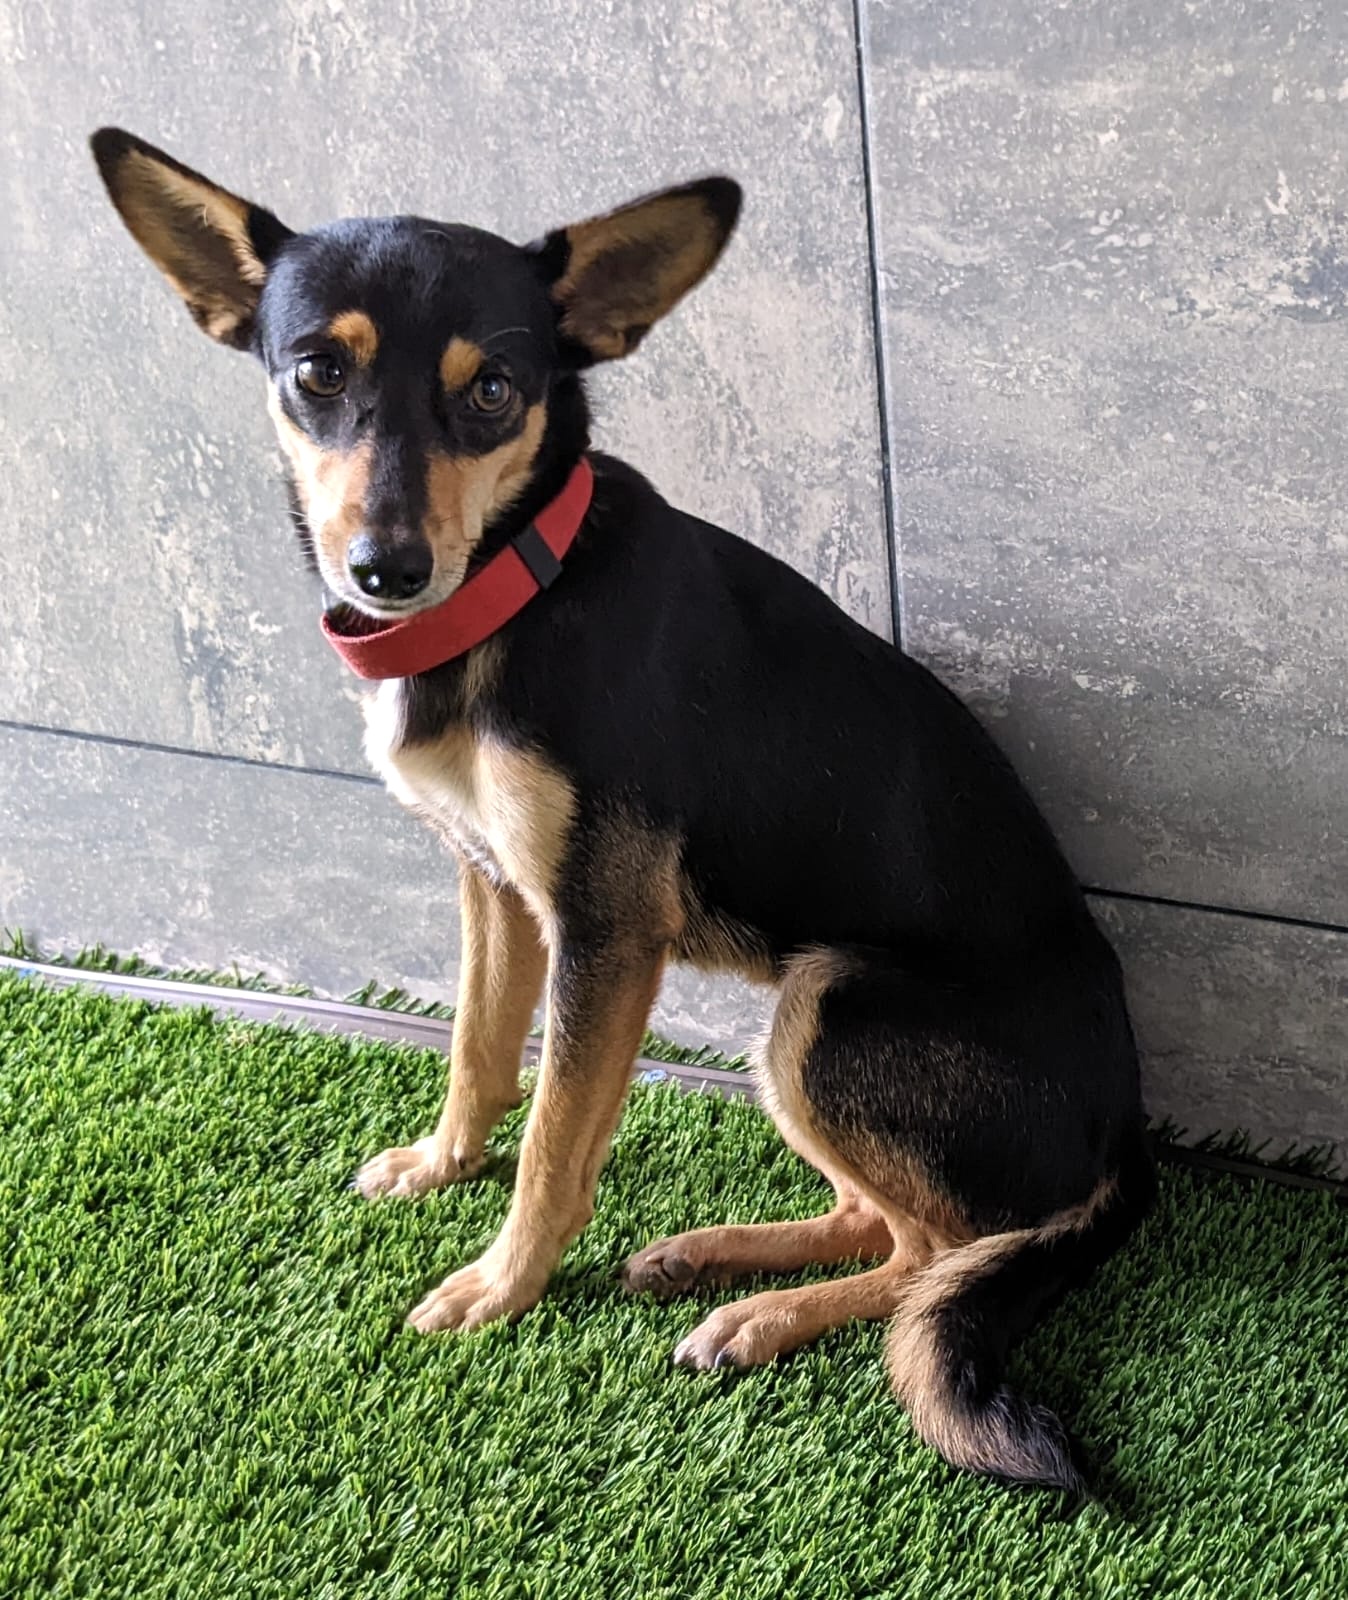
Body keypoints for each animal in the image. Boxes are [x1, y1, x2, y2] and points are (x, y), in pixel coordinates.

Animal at [89, 131, 1152, 1491]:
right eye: (318, 371)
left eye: (494, 391)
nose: (387, 570)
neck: (515, 595)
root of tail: (1124, 1138)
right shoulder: (495, 884)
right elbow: (479, 1050)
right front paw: (441, 1164)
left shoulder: (604, 930)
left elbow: (553, 1137)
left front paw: (499, 1284)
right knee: (887, 1224)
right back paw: (711, 1255)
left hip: (823, 1013)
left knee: (929, 1259)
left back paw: (758, 1316)